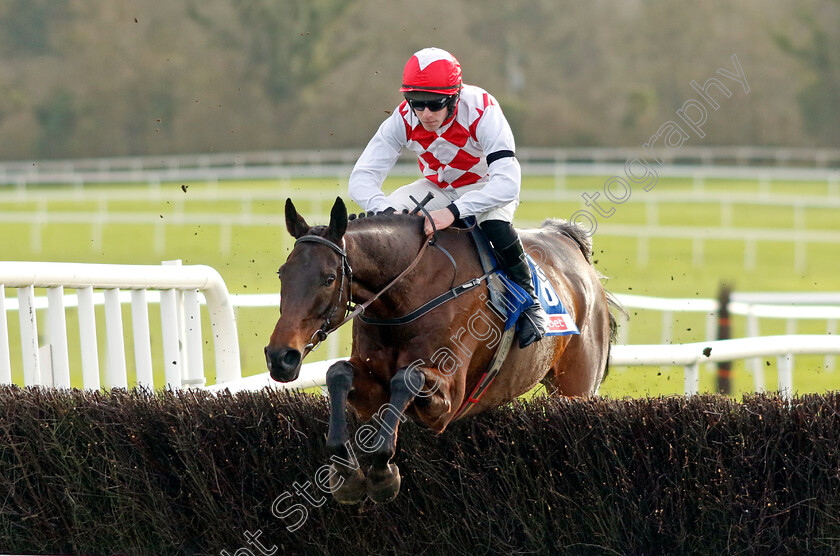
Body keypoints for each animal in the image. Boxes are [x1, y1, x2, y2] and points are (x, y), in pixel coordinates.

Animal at [266, 198, 620, 506]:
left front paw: (382, 474)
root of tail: (566, 239)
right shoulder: (371, 389)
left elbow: (405, 378)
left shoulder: (448, 401)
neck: (407, 293)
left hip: (576, 388)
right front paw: (346, 474)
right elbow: (338, 373)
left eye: (328, 279)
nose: (280, 356)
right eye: (282, 273)